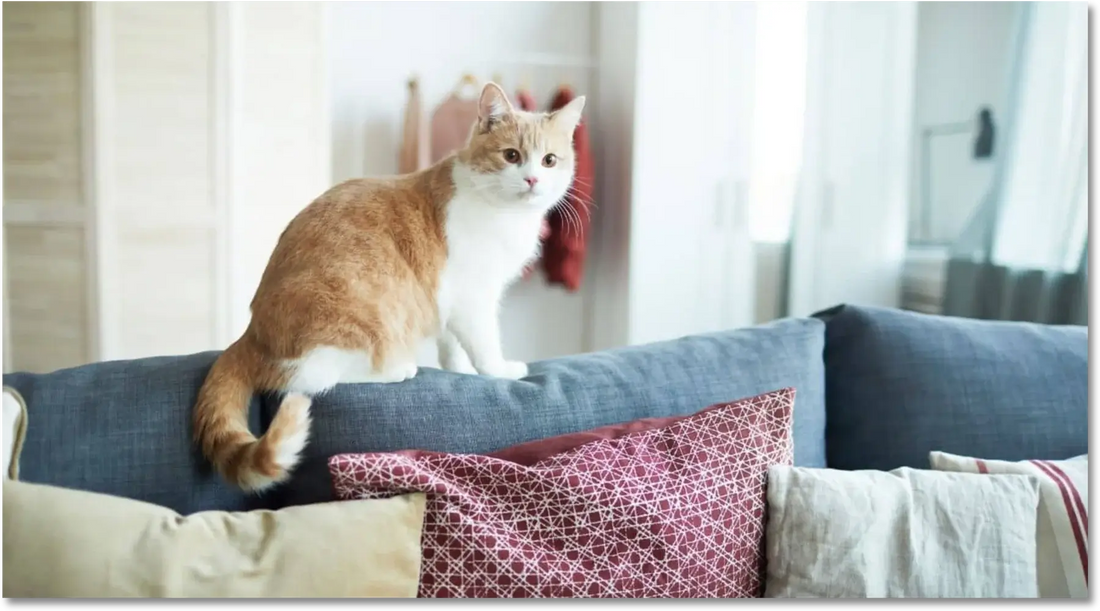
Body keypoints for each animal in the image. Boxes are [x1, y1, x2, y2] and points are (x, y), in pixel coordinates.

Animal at [191, 82, 585, 493]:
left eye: (549, 161)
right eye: (512, 156)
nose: (533, 180)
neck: (502, 212)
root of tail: (250, 335)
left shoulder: (450, 300)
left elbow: (451, 345)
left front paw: (459, 369)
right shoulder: (473, 297)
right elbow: (484, 344)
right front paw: (500, 371)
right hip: (361, 319)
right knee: (313, 381)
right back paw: (397, 370)